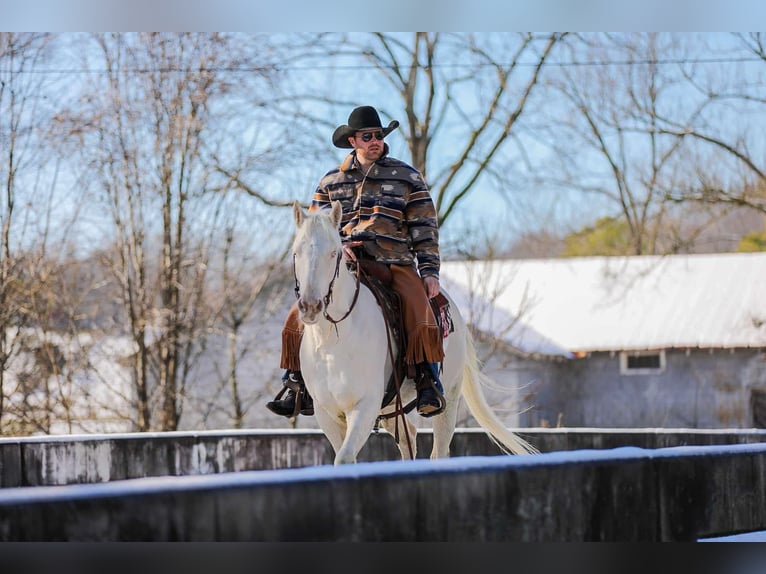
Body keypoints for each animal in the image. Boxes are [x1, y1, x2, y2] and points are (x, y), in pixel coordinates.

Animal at [292, 202, 536, 468]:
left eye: (333, 253)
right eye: (296, 253)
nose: (310, 306)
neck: (334, 340)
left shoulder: (365, 406)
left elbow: (345, 458)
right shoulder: (327, 413)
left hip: (448, 397)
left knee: (439, 450)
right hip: (391, 407)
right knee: (408, 436)